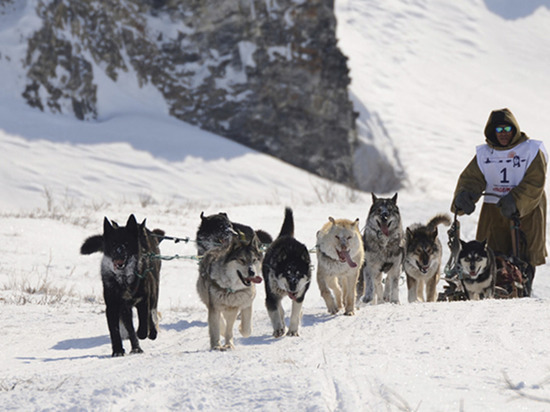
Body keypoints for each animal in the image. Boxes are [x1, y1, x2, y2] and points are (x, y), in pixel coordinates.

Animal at [80, 214, 165, 356]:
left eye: (126, 243)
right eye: (113, 243)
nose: (118, 252)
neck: (124, 278)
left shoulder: (143, 301)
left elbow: (143, 322)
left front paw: (143, 335)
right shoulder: (114, 306)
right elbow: (116, 331)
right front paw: (118, 350)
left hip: (151, 296)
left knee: (150, 315)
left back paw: (149, 334)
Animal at [262, 208, 310, 336]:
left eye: (298, 273)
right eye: (287, 273)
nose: (293, 288)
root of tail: (285, 236)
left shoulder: (299, 296)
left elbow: (295, 314)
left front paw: (293, 330)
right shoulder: (271, 297)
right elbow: (275, 313)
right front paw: (278, 329)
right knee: (280, 310)